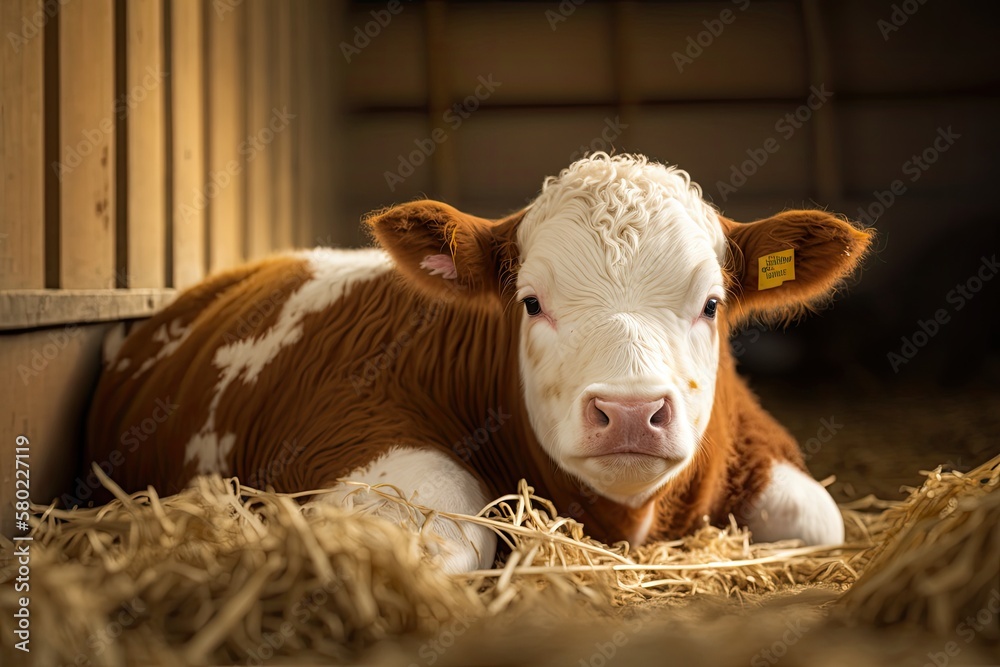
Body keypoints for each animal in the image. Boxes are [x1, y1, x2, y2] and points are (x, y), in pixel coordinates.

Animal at [84, 154, 868, 572]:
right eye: (530, 302)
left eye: (710, 304)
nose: (630, 411)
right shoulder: (348, 429)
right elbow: (441, 530)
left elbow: (815, 519)